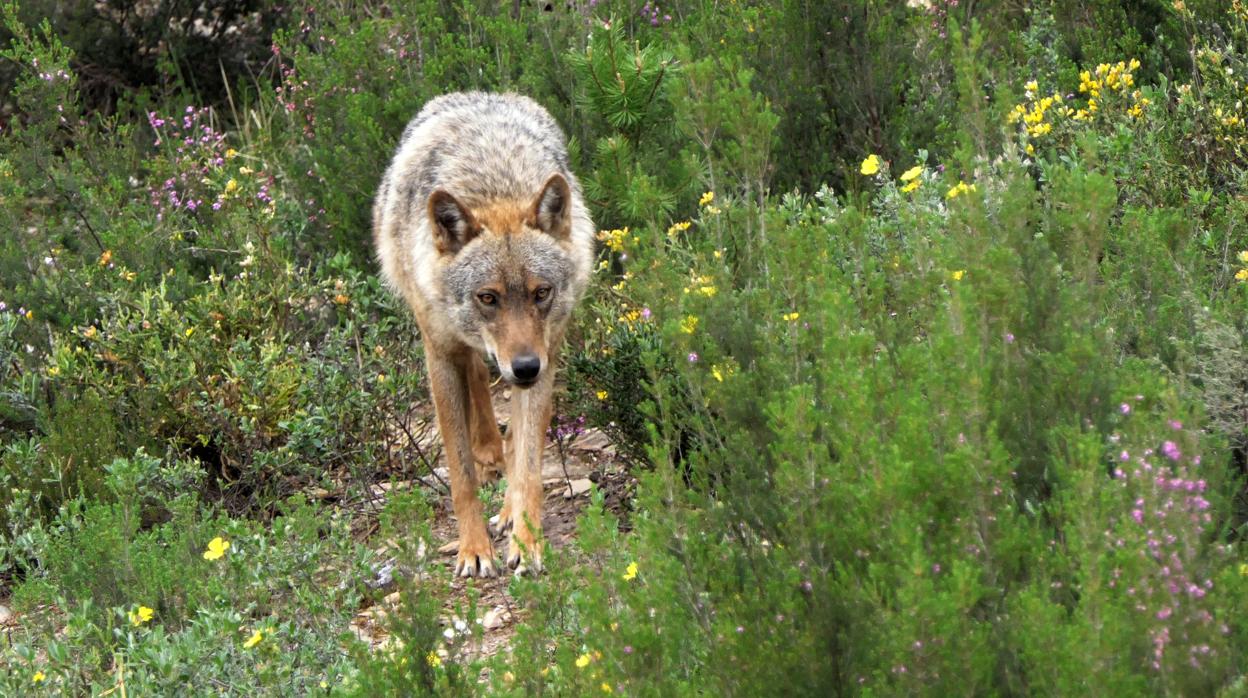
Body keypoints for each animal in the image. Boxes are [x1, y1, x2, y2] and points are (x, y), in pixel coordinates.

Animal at [371, 93, 596, 579]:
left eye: (541, 293)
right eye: (487, 297)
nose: (525, 367)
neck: (494, 185)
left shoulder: (546, 353)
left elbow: (529, 464)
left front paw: (526, 542)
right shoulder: (438, 355)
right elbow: (460, 474)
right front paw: (473, 548)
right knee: (476, 372)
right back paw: (488, 451)